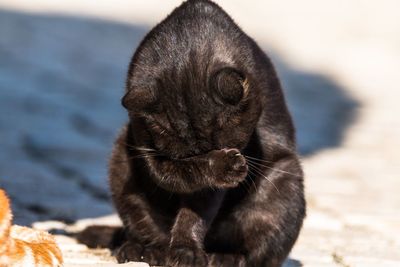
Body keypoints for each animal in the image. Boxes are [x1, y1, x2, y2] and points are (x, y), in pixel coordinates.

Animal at [83, 0, 306, 267]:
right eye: (184, 154)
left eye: (222, 145)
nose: (227, 158)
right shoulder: (151, 151)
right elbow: (184, 174)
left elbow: (196, 210)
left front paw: (185, 250)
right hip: (121, 158)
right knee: (143, 226)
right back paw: (143, 250)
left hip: (285, 178)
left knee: (260, 253)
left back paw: (226, 257)